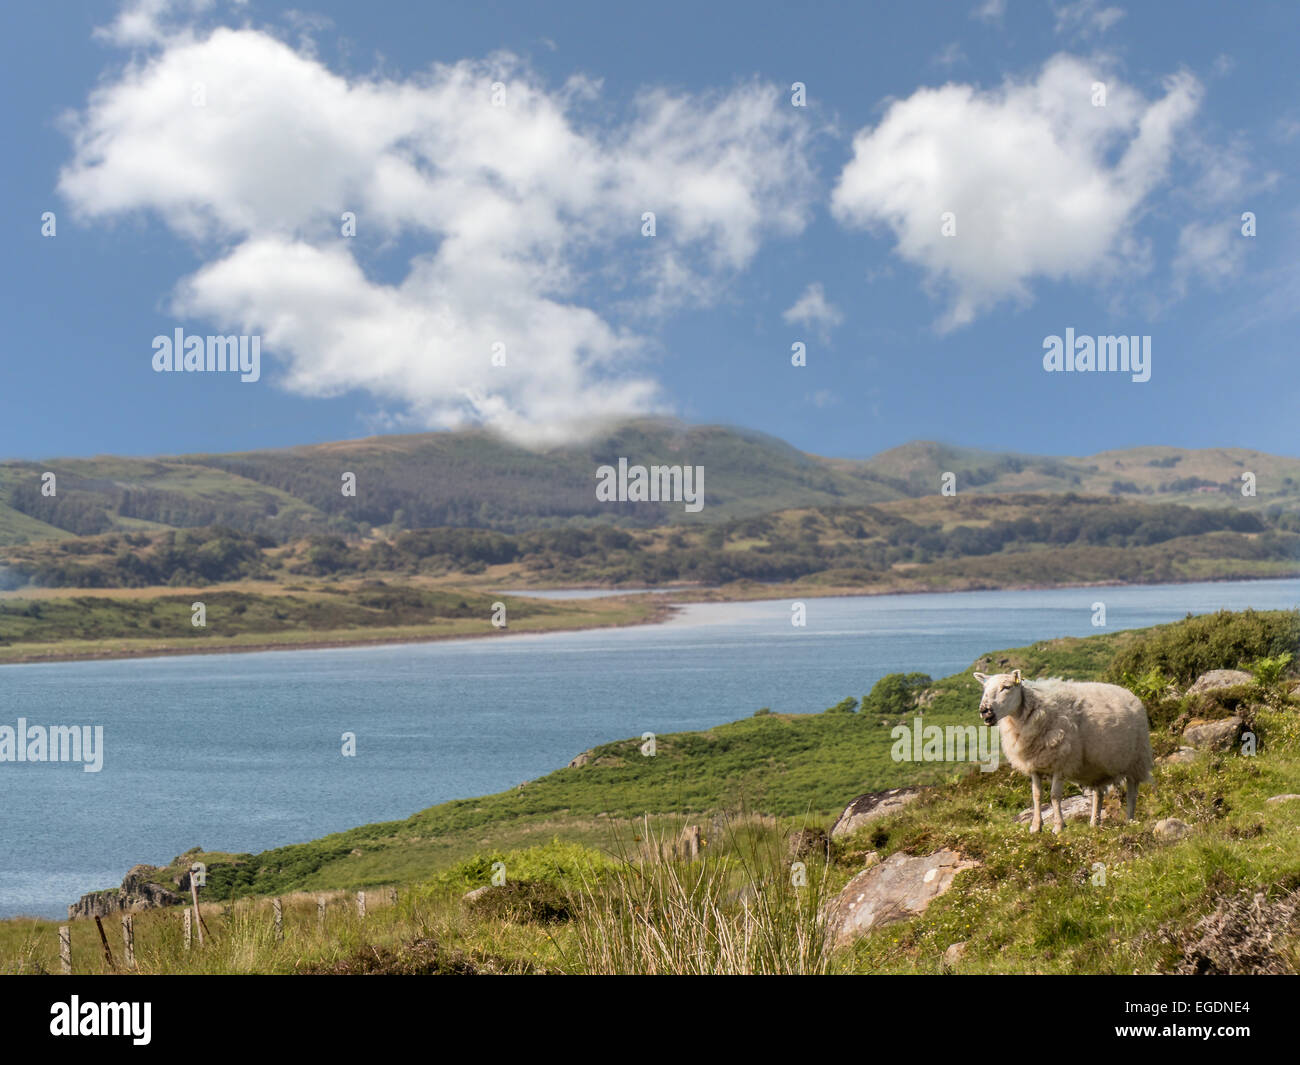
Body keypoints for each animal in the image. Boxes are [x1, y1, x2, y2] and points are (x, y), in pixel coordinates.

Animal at [972, 670, 1154, 837]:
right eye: (985, 688)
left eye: (1006, 687)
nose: (985, 710)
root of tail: (1129, 693)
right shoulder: (1034, 765)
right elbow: (1036, 796)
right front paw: (1036, 827)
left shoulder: (1060, 763)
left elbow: (1054, 796)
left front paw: (1058, 826)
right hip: (1097, 767)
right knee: (1098, 794)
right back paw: (1094, 823)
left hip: (1137, 759)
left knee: (1132, 792)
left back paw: (1129, 820)